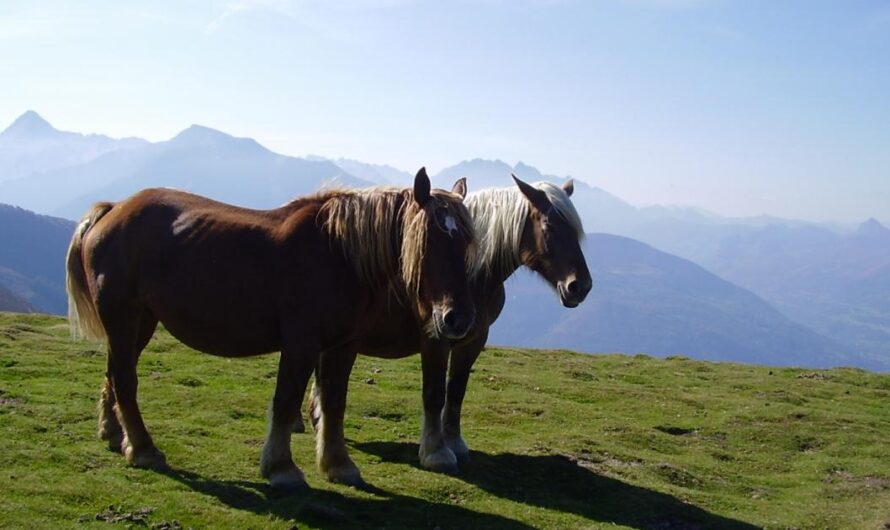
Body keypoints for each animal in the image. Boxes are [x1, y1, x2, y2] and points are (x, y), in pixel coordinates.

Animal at [66, 168, 476, 486]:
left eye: (468, 242)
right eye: (428, 241)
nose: (457, 319)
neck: (337, 253)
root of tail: (113, 210)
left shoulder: (342, 346)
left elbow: (333, 403)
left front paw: (338, 464)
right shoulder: (301, 344)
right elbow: (286, 401)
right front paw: (281, 468)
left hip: (141, 321)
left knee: (114, 374)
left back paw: (115, 434)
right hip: (123, 318)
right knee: (125, 379)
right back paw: (143, 449)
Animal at [300, 173, 588, 482]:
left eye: (575, 230)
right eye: (549, 227)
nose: (580, 286)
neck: (472, 276)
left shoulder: (473, 340)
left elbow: (456, 391)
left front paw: (455, 443)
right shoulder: (436, 339)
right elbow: (435, 393)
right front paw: (436, 452)